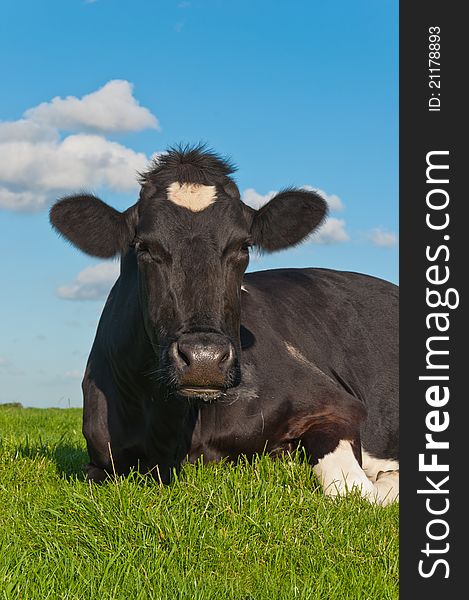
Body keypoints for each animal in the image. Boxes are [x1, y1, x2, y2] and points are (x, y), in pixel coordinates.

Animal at [50, 145, 398, 502]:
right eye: (143, 246)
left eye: (243, 245)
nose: (204, 359)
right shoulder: (100, 461)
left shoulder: (336, 404)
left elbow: (353, 490)